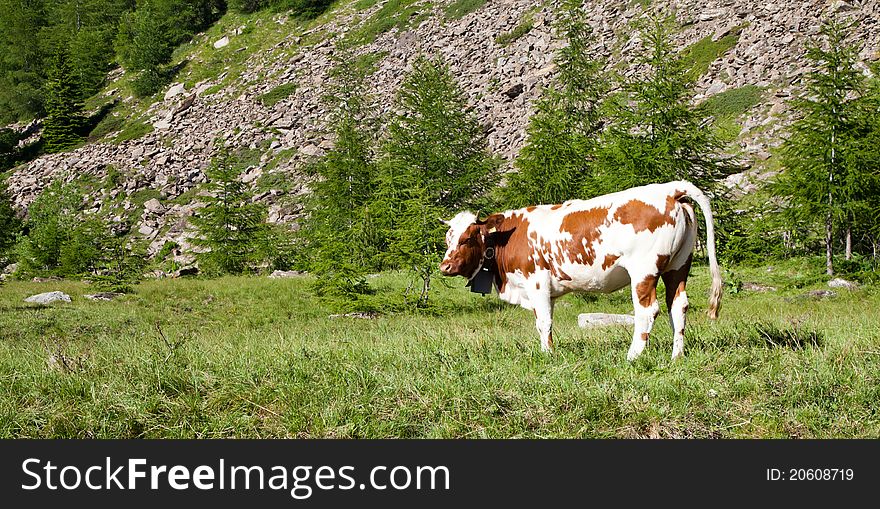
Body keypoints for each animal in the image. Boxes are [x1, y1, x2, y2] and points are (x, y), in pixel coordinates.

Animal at [440, 181, 720, 360]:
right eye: (447, 238)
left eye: (467, 238)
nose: (445, 266)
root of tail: (670, 189)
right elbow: (544, 322)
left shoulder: (537, 281)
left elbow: (543, 322)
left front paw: (548, 355)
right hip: (679, 265)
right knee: (678, 307)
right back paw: (677, 356)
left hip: (644, 270)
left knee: (647, 310)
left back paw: (633, 356)